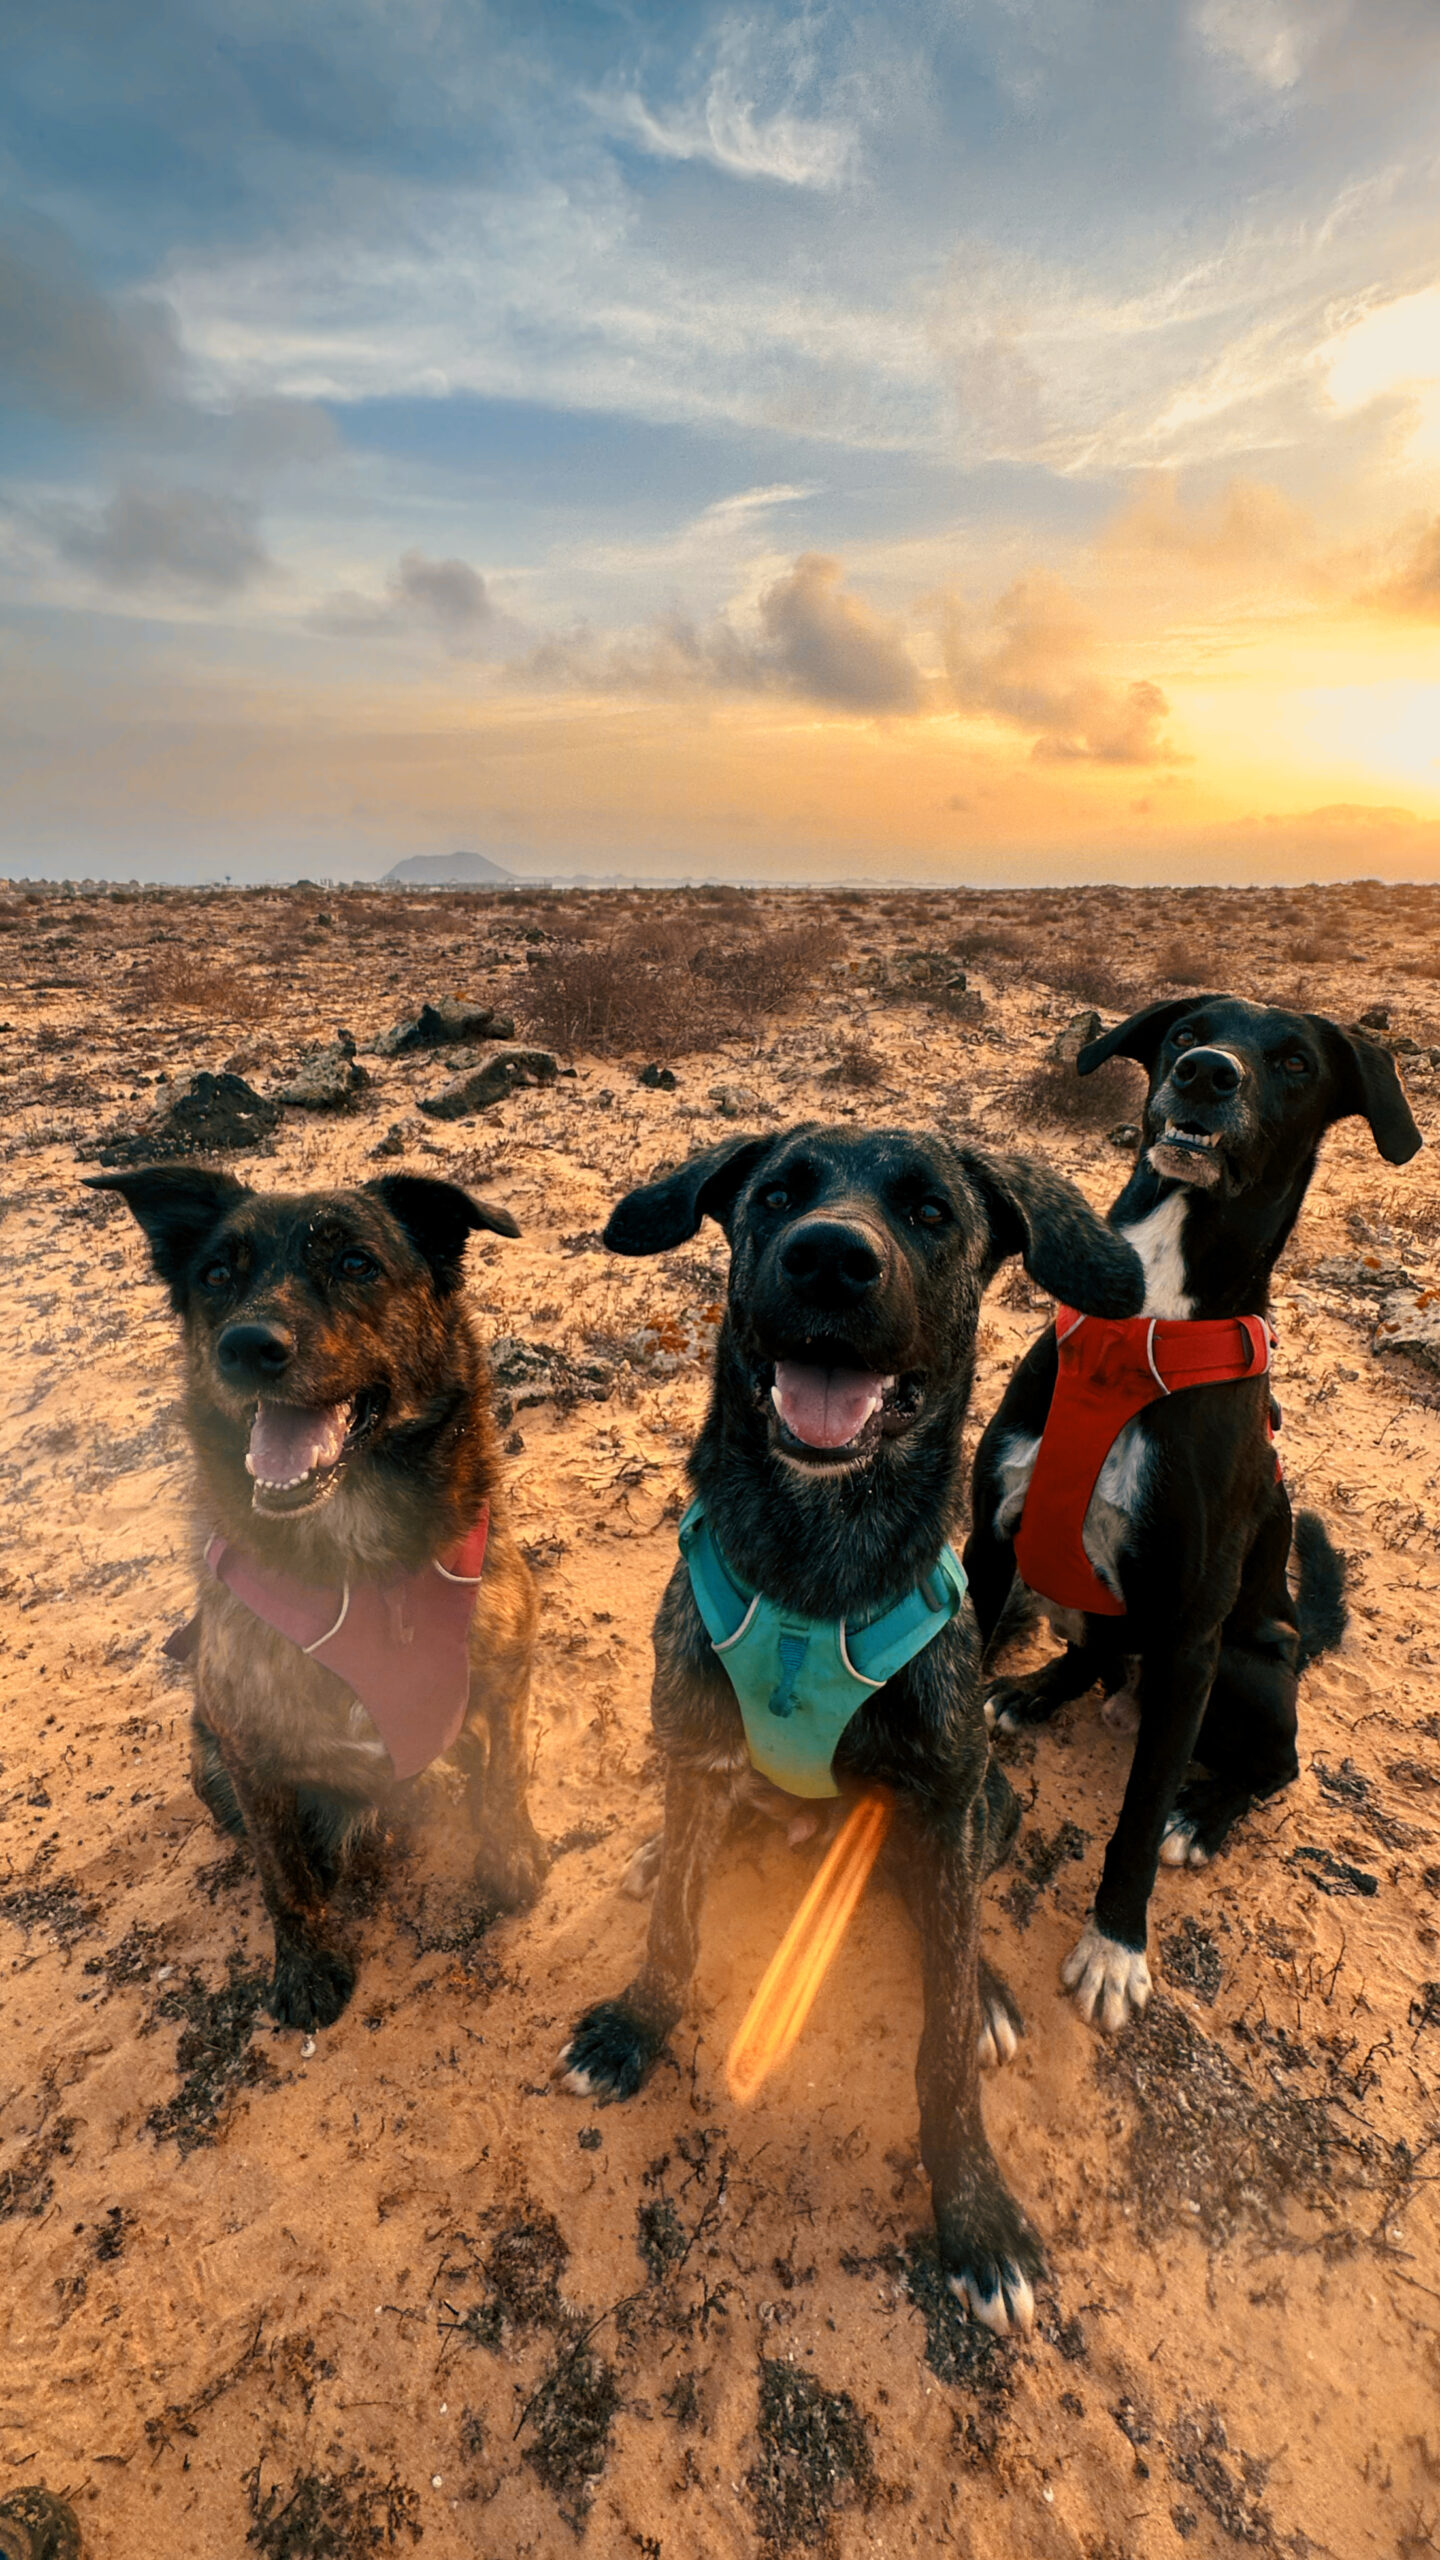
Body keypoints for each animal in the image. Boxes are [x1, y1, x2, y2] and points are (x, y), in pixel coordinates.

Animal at [89, 1172, 545, 2027]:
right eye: (217, 1276)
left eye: (357, 1263)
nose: (247, 1346)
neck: (359, 1564)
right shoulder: (249, 1749)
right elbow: (283, 1874)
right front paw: (304, 1967)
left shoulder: (505, 1677)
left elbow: (506, 1777)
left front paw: (512, 1856)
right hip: (207, 1760)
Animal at [556, 1131, 1137, 2334]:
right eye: (776, 1195)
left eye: (929, 1212)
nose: (828, 1257)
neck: (814, 1568)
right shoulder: (695, 1739)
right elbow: (674, 1932)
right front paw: (639, 2023)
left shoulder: (948, 1788)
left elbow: (944, 2033)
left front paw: (974, 2209)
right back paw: (664, 1850)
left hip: (983, 1800)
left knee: (950, 1909)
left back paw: (990, 1985)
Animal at [958, 988, 1414, 2027]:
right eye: (1182, 1033)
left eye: (1294, 1062)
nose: (1207, 1073)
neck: (1145, 1323)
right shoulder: (991, 1546)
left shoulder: (1195, 1635)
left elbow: (1134, 1818)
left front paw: (1116, 1945)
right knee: (1095, 1659)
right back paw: (1037, 1691)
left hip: (1245, 1665)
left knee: (1273, 1765)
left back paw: (1203, 1813)